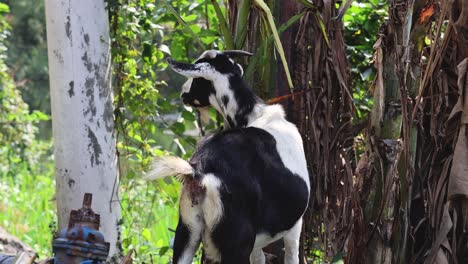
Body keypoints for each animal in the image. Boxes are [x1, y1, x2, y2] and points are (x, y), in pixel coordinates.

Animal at [144, 50, 308, 262]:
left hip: (187, 230)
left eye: (196, 79)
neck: (257, 115)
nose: (183, 92)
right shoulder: (294, 227)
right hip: (236, 241)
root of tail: (200, 171)